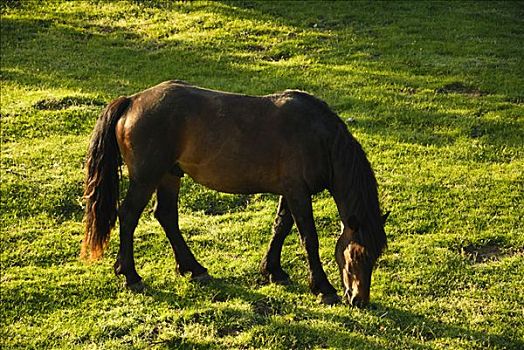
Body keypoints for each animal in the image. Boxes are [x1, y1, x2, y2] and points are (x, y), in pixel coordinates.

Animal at [82, 80, 386, 306]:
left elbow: (280, 227)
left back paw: (193, 268)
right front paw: (323, 287)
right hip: (146, 178)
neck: (317, 136)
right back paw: (130, 274)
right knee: (128, 215)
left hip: (169, 175)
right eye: (358, 255)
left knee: (166, 216)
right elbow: (308, 238)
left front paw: (273, 270)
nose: (359, 300)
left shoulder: (290, 191)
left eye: (375, 256)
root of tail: (132, 101)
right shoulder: (298, 192)